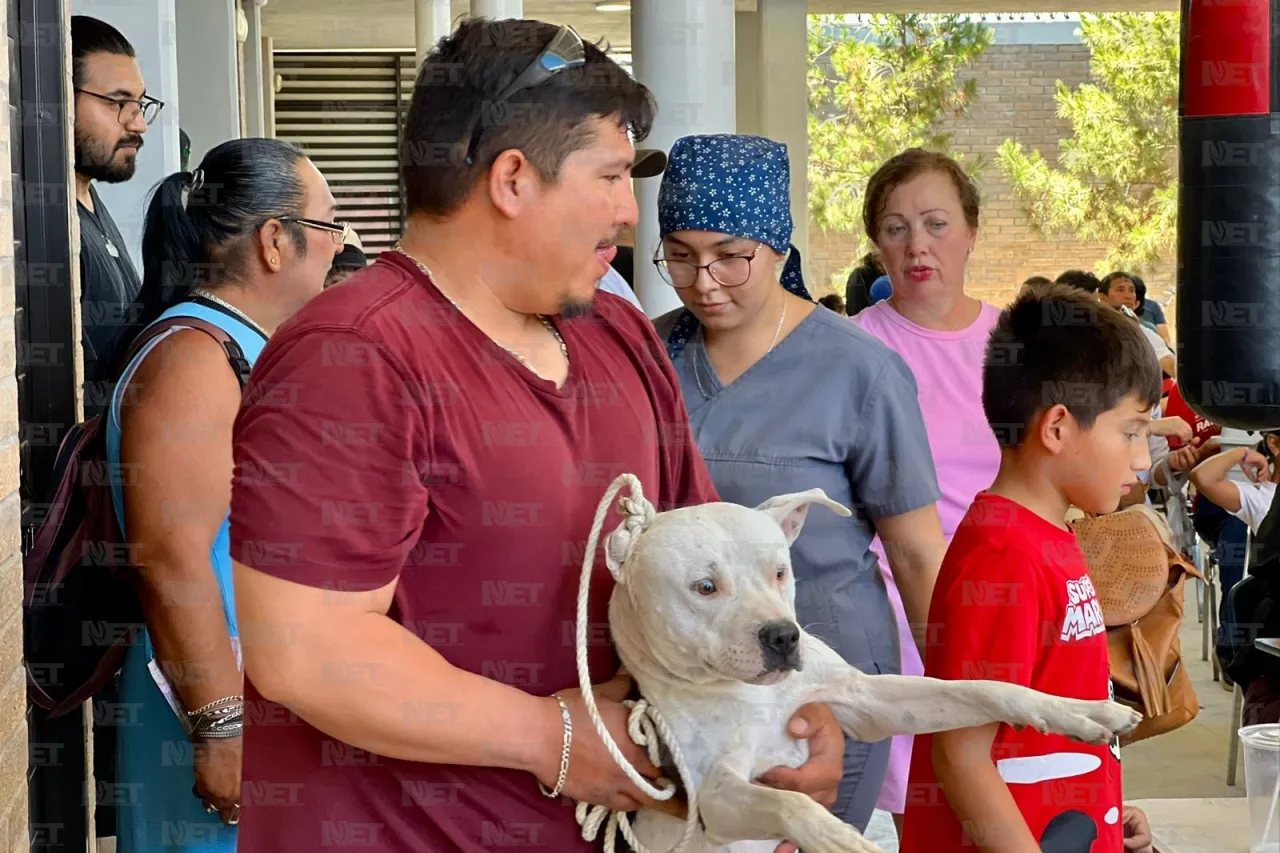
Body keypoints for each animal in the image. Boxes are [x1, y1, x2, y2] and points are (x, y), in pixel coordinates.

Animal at [586, 481, 1146, 850]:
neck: (752, 694)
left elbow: (983, 689)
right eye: (705, 587)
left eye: (780, 572)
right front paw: (841, 839)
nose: (783, 636)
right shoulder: (714, 796)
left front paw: (1083, 712)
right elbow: (789, 803)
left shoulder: (868, 699)